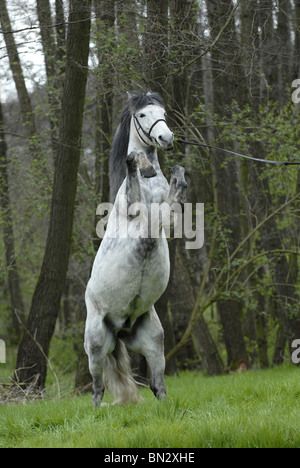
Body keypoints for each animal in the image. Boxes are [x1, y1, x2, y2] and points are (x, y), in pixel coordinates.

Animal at [85, 91, 188, 406]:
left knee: (157, 384)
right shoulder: (134, 210)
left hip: (154, 339)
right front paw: (144, 165)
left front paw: (175, 170)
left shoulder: (170, 220)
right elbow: (132, 159)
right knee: (97, 387)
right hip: (95, 343)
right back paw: (97, 412)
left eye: (163, 113)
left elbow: (178, 187)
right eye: (143, 115)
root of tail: (120, 328)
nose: (166, 138)